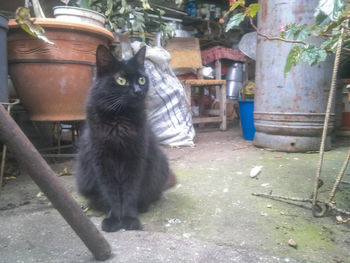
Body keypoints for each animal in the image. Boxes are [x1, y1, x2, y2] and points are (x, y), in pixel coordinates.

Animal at [76, 45, 175, 233]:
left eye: (142, 79)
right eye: (121, 80)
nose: (138, 91)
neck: (119, 120)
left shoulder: (135, 158)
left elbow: (130, 191)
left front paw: (129, 219)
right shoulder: (102, 160)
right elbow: (111, 193)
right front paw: (113, 219)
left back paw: (142, 206)